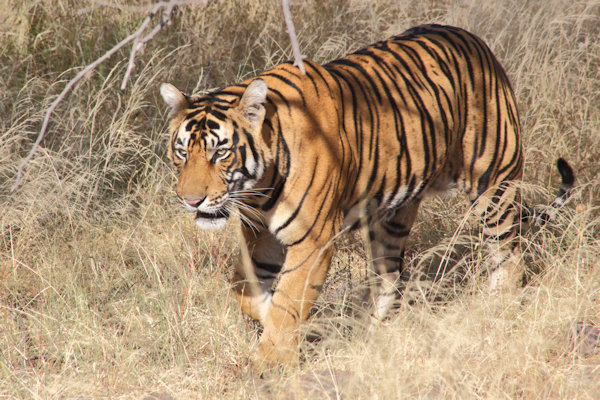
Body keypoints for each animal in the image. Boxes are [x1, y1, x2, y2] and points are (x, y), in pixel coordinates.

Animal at [162, 25, 576, 368]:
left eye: (220, 152)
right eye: (182, 152)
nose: (191, 200)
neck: (259, 186)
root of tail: (477, 41)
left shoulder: (313, 240)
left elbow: (288, 301)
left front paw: (271, 361)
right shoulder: (261, 236)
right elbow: (247, 292)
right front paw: (295, 330)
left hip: (495, 184)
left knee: (508, 255)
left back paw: (496, 310)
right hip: (390, 218)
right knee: (390, 276)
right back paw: (371, 334)